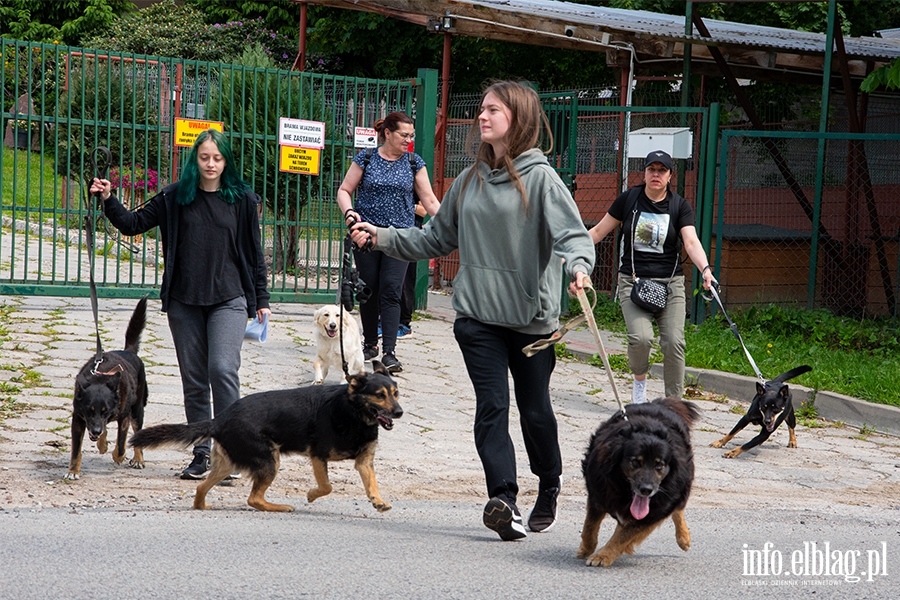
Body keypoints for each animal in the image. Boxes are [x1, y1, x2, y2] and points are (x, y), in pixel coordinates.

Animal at [65, 296, 149, 482]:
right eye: (89, 410)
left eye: (105, 410)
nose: (95, 430)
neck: (100, 377)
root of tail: (129, 351)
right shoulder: (79, 419)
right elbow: (76, 450)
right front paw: (73, 471)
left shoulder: (123, 417)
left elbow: (121, 444)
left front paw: (119, 456)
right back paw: (102, 443)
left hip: (137, 410)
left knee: (136, 432)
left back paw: (138, 458)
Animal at [128, 360, 402, 510]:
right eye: (380, 395)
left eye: (396, 393)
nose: (399, 412)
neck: (354, 413)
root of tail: (220, 419)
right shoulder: (318, 455)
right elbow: (327, 486)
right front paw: (311, 495)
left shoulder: (364, 461)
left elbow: (371, 483)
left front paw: (378, 501)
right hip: (269, 460)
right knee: (253, 499)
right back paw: (279, 507)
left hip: (229, 463)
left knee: (202, 487)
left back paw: (201, 506)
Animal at [580, 398, 700, 568]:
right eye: (636, 462)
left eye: (659, 465)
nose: (646, 490)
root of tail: (658, 403)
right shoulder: (599, 494)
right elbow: (590, 528)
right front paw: (585, 549)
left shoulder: (654, 512)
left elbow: (623, 536)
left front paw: (603, 555)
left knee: (678, 509)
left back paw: (683, 538)